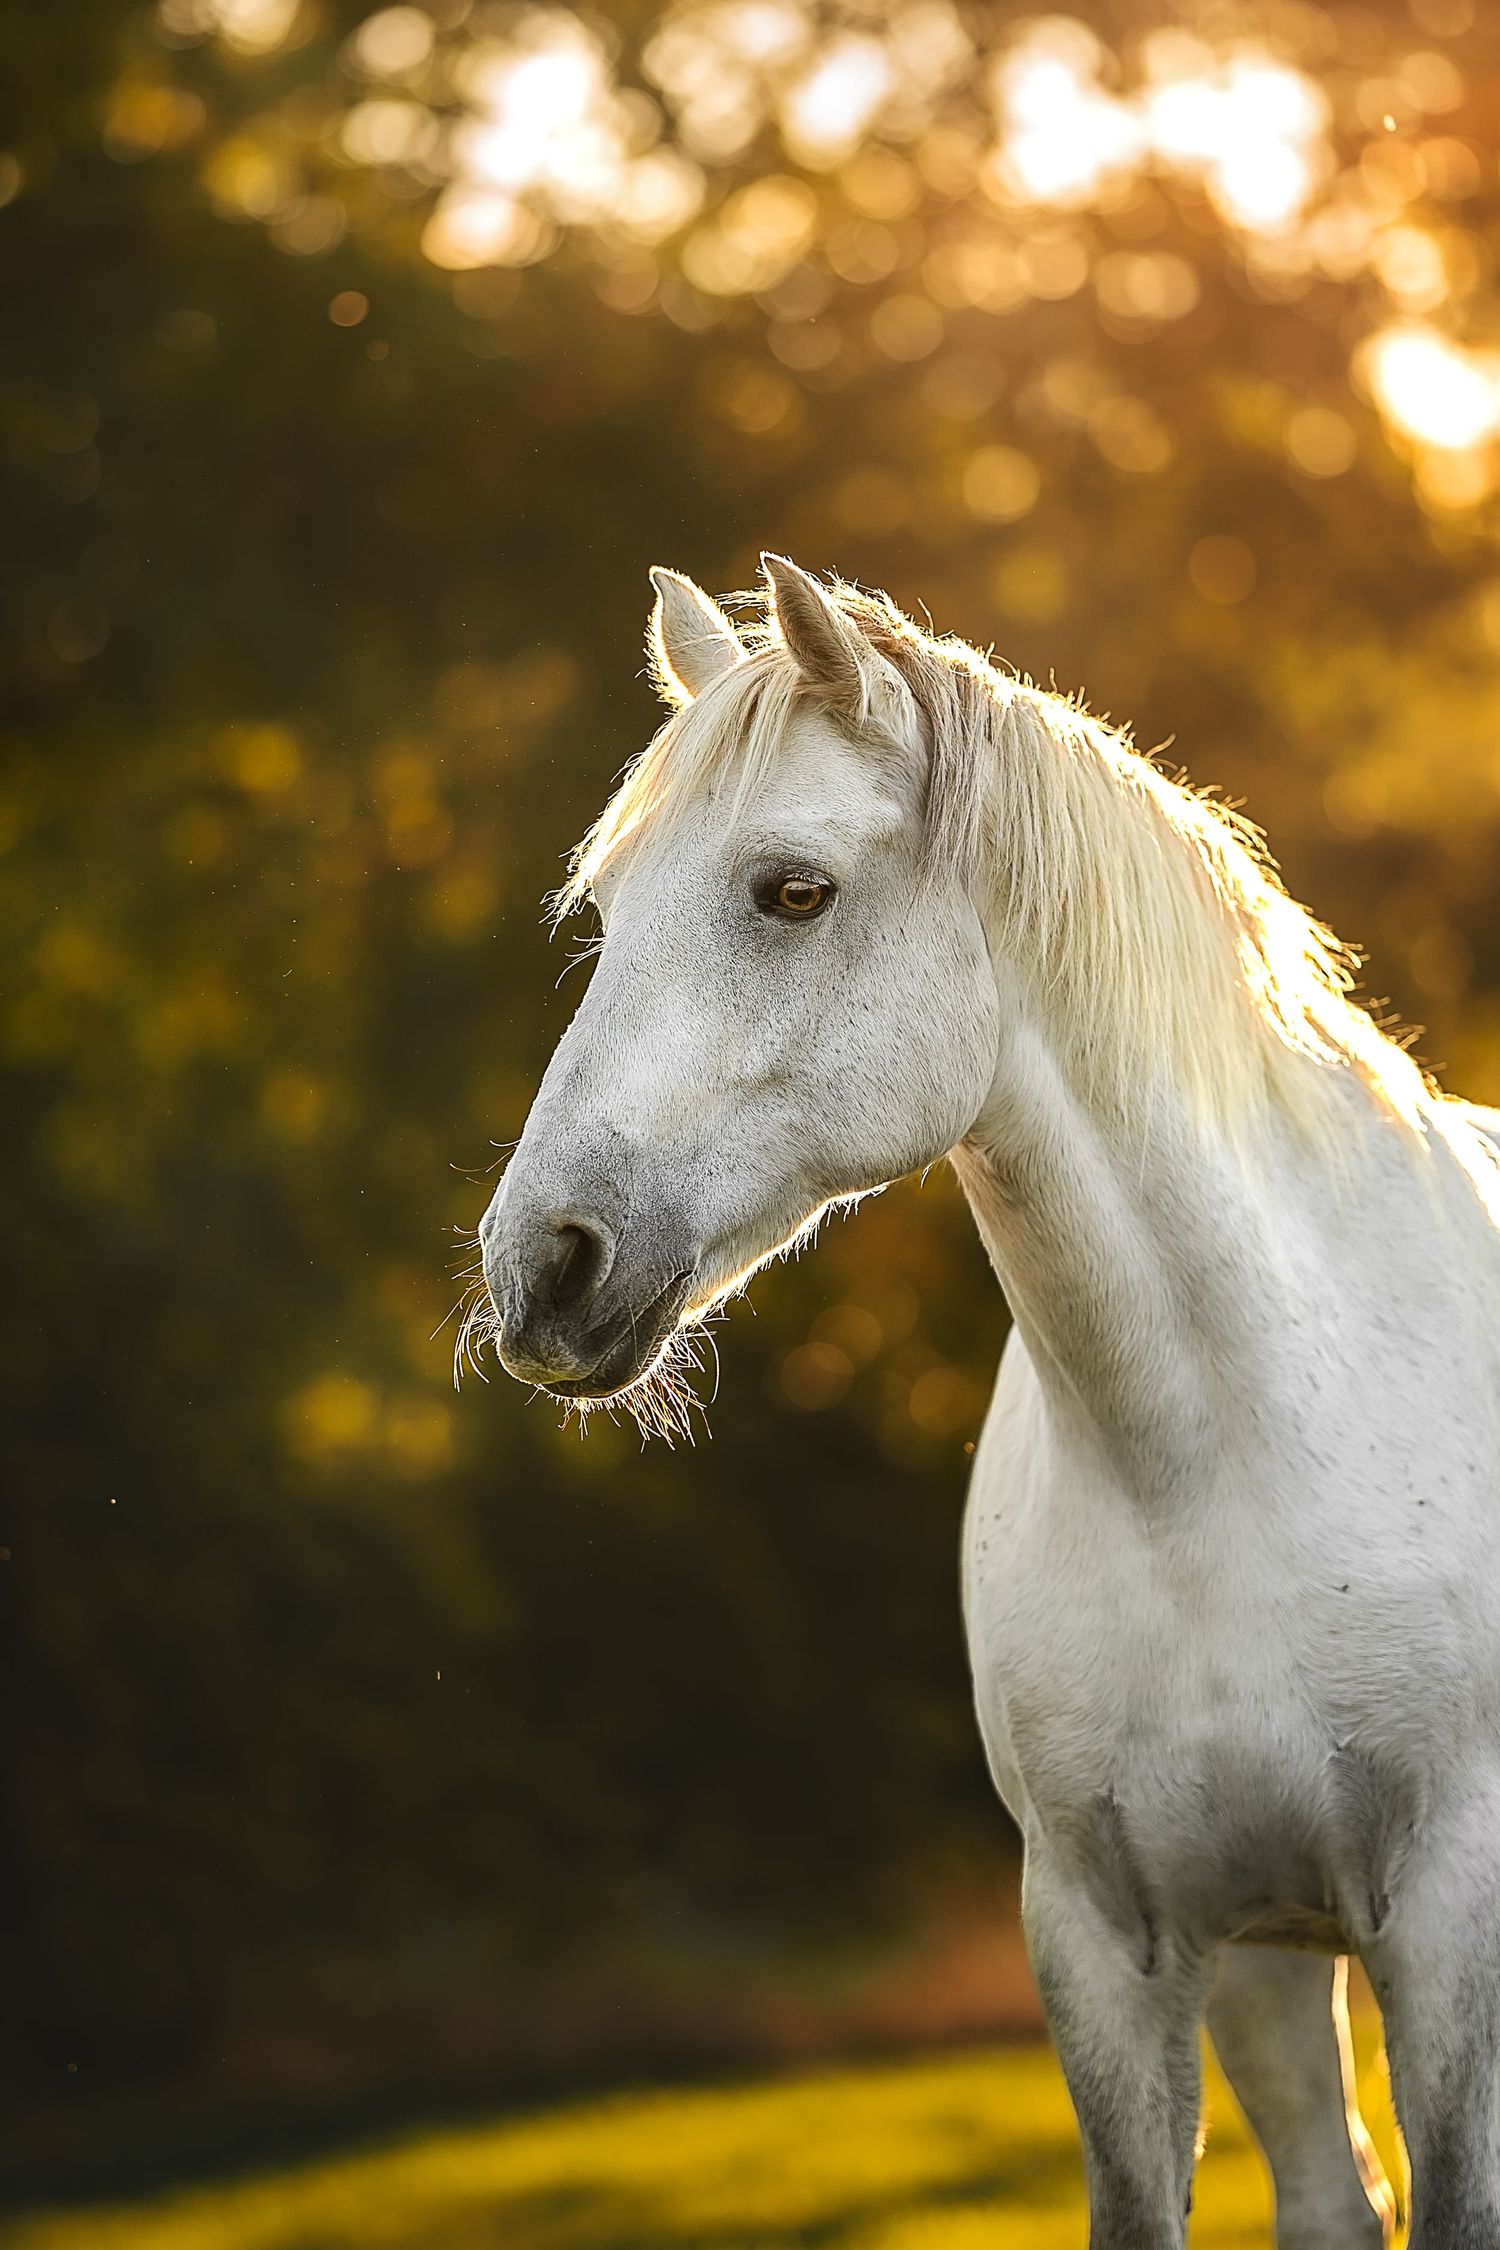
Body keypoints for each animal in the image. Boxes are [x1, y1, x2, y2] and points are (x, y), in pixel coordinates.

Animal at [471, 555, 1500, 2248]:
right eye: (605, 914)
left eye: (793, 890)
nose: (542, 1265)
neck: (1222, 1457)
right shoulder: (1114, 1938)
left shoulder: (1451, 1921)